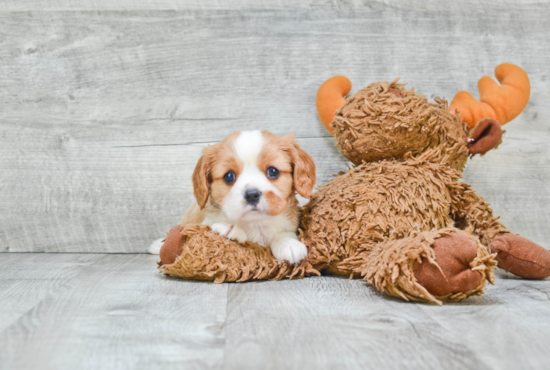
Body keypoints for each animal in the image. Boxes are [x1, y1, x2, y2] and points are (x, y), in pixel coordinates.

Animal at [151, 130, 316, 264]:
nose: (252, 195)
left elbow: (284, 233)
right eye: (229, 176)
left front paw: (288, 244)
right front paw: (230, 228)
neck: (256, 224)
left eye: (273, 171)